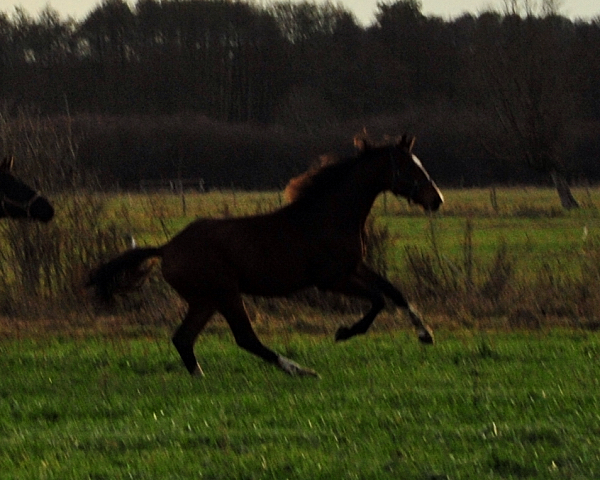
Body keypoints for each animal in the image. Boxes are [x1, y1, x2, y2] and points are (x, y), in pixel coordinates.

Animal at [88, 133, 446, 376]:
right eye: (408, 167)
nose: (437, 199)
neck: (330, 214)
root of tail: (166, 248)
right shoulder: (331, 279)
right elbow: (378, 300)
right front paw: (344, 332)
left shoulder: (354, 267)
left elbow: (395, 292)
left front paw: (425, 333)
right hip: (225, 293)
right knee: (244, 337)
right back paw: (299, 370)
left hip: (205, 299)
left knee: (184, 339)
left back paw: (200, 376)